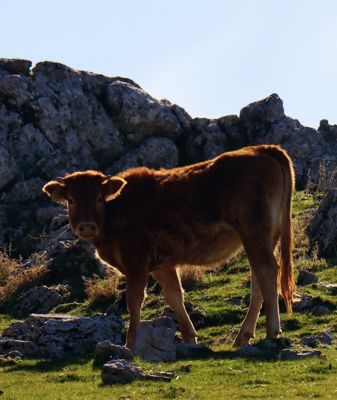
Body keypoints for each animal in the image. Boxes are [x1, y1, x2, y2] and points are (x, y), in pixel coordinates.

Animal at [42, 145, 294, 348]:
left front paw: (130, 344)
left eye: (98, 198)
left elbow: (134, 300)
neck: (115, 212)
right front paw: (189, 338)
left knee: (266, 271)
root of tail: (262, 149)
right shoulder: (162, 264)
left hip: (254, 231)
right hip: (266, 237)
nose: (86, 226)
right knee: (258, 277)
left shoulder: (136, 262)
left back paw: (271, 331)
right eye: (71, 200)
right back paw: (244, 335)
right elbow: (174, 296)